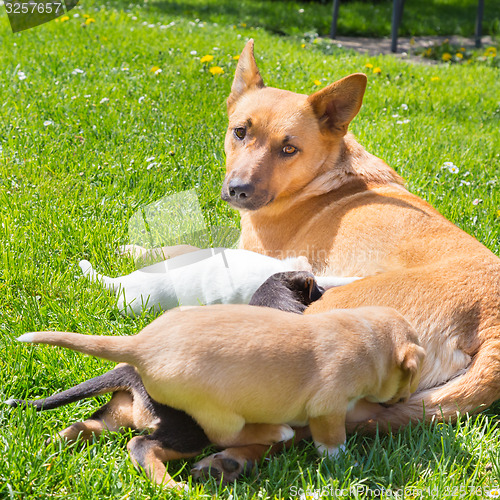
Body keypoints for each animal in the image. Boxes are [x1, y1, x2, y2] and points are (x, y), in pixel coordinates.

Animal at [14, 302, 422, 486]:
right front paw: (342, 460)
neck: (366, 335)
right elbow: (331, 439)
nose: (404, 399)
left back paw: (50, 448)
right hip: (207, 417)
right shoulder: (328, 406)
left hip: (120, 414)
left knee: (86, 426)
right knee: (156, 445)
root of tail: (138, 347)